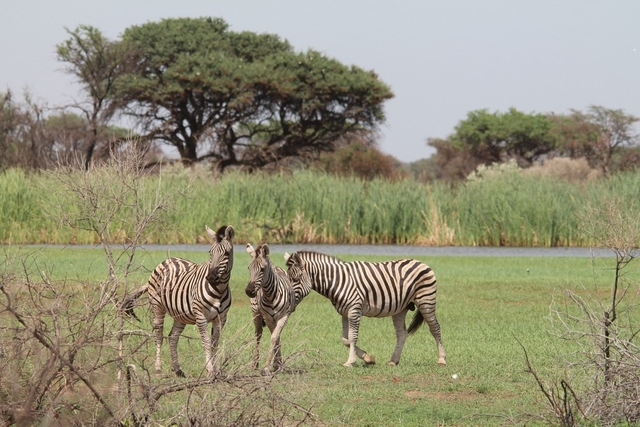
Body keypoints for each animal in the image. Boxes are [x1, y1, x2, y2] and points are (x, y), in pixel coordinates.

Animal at [124, 226, 236, 376]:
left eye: (227, 253)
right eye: (210, 252)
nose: (211, 278)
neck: (219, 290)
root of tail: (169, 259)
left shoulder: (221, 318)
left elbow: (215, 343)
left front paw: (216, 370)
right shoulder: (201, 315)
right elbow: (206, 341)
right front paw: (210, 369)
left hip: (180, 314)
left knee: (172, 337)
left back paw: (177, 370)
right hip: (157, 306)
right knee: (159, 336)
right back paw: (158, 369)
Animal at [244, 242, 296, 376]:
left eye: (262, 269)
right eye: (249, 268)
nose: (249, 291)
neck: (270, 295)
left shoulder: (284, 316)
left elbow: (274, 338)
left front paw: (275, 365)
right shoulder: (267, 318)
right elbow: (273, 337)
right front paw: (270, 366)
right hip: (256, 313)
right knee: (258, 334)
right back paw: (255, 363)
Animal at [284, 251, 444, 368]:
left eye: (296, 279)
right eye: (288, 278)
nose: (288, 303)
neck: (338, 281)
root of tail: (420, 262)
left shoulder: (354, 310)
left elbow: (352, 337)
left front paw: (350, 362)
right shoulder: (344, 313)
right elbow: (345, 339)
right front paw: (368, 358)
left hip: (426, 301)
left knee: (435, 328)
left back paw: (442, 359)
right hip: (401, 309)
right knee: (402, 333)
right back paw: (393, 360)